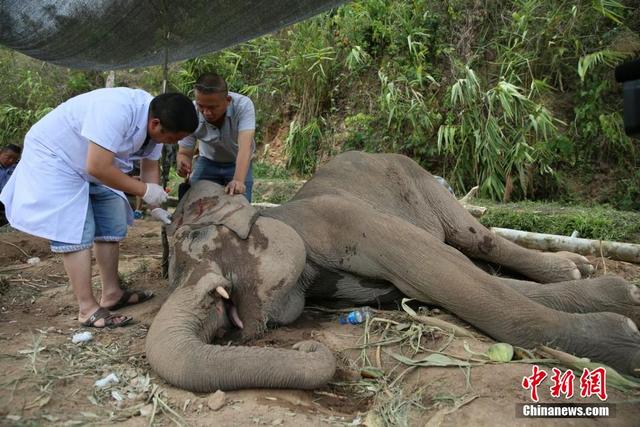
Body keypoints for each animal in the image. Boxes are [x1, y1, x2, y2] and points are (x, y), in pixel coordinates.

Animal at [145, 152, 640, 392]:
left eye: (194, 241)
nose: (305, 345)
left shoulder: (345, 219)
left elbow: (451, 276)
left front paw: (625, 335)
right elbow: (436, 286)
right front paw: (622, 301)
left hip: (423, 182)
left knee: (474, 239)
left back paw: (573, 268)